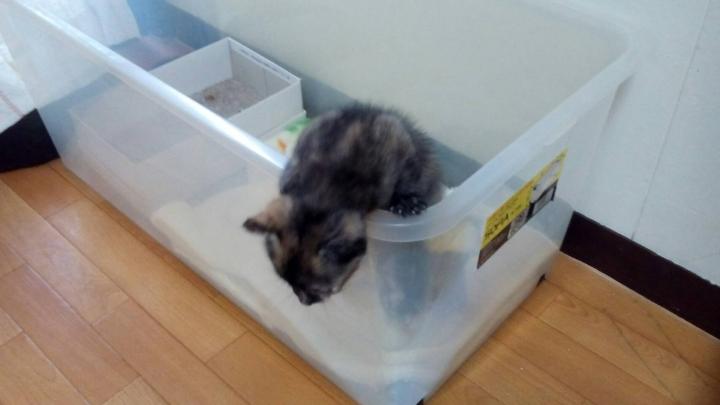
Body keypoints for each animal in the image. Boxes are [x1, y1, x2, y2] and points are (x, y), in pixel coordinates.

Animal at [244, 104, 441, 305]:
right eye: (286, 280)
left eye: (317, 289)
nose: (303, 302)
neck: (320, 189)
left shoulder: (398, 142)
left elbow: (407, 175)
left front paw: (405, 200)